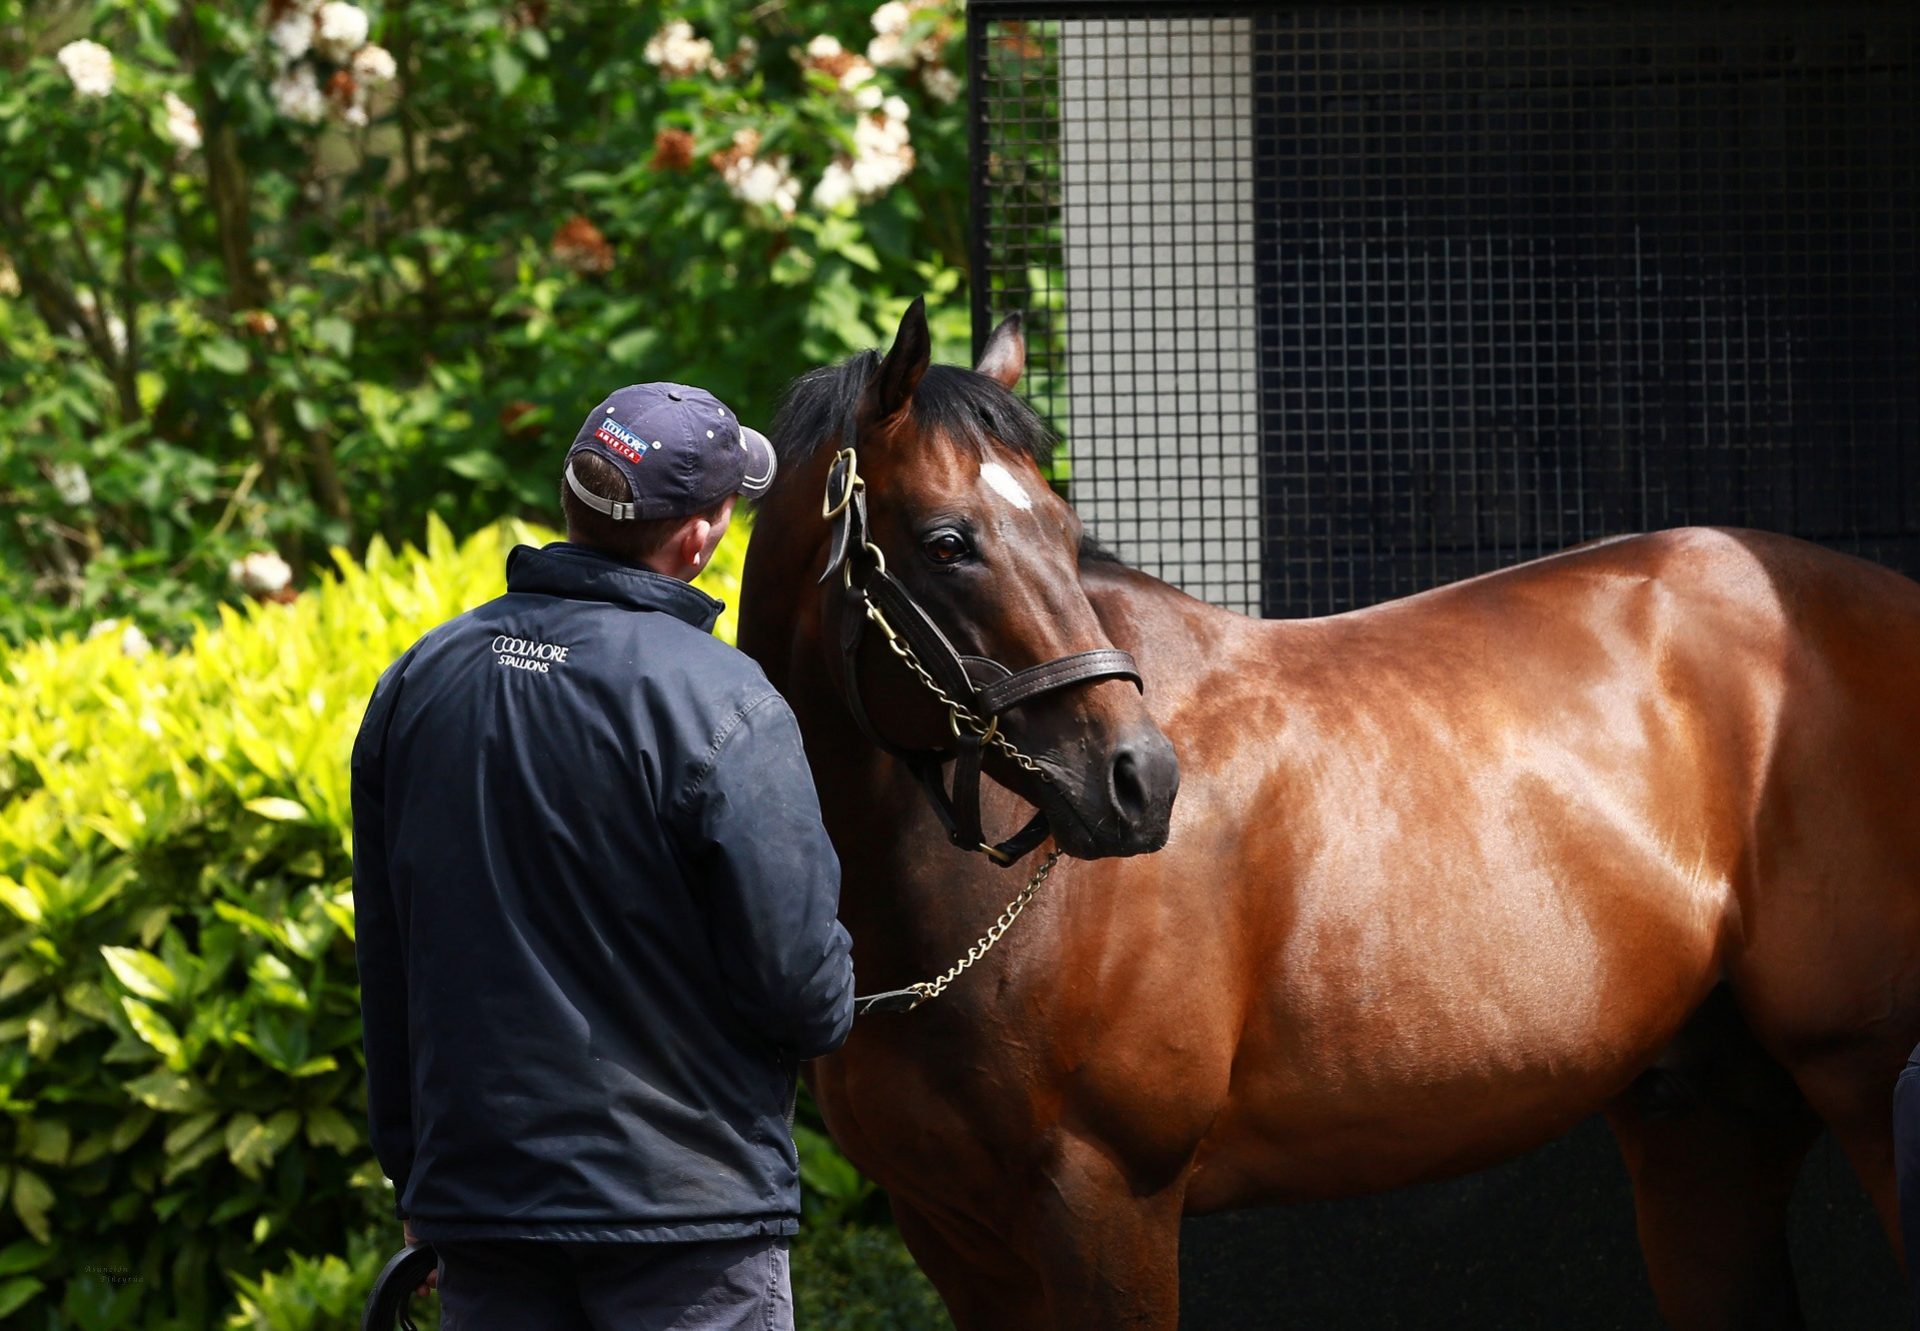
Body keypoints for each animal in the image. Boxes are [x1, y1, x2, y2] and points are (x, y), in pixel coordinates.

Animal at [737, 301, 1920, 1329]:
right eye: (946, 541)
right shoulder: (955, 1231)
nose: (1138, 779)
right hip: (1707, 1124)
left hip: (1865, 1082)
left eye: (1068, 532)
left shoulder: (1107, 1202)